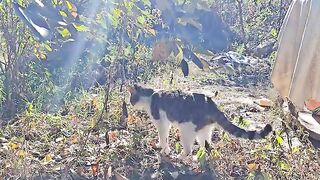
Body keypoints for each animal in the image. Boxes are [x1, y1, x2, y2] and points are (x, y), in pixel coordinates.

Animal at [128, 84, 272, 158]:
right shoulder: (166, 124)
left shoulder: (162, 123)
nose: (130, 104)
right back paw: (200, 157)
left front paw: (165, 150)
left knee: (188, 150)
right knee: (207, 147)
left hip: (186, 130)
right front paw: (160, 146)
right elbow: (162, 139)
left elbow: (163, 138)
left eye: (131, 99)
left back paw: (179, 157)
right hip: (204, 132)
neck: (150, 96)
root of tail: (212, 104)